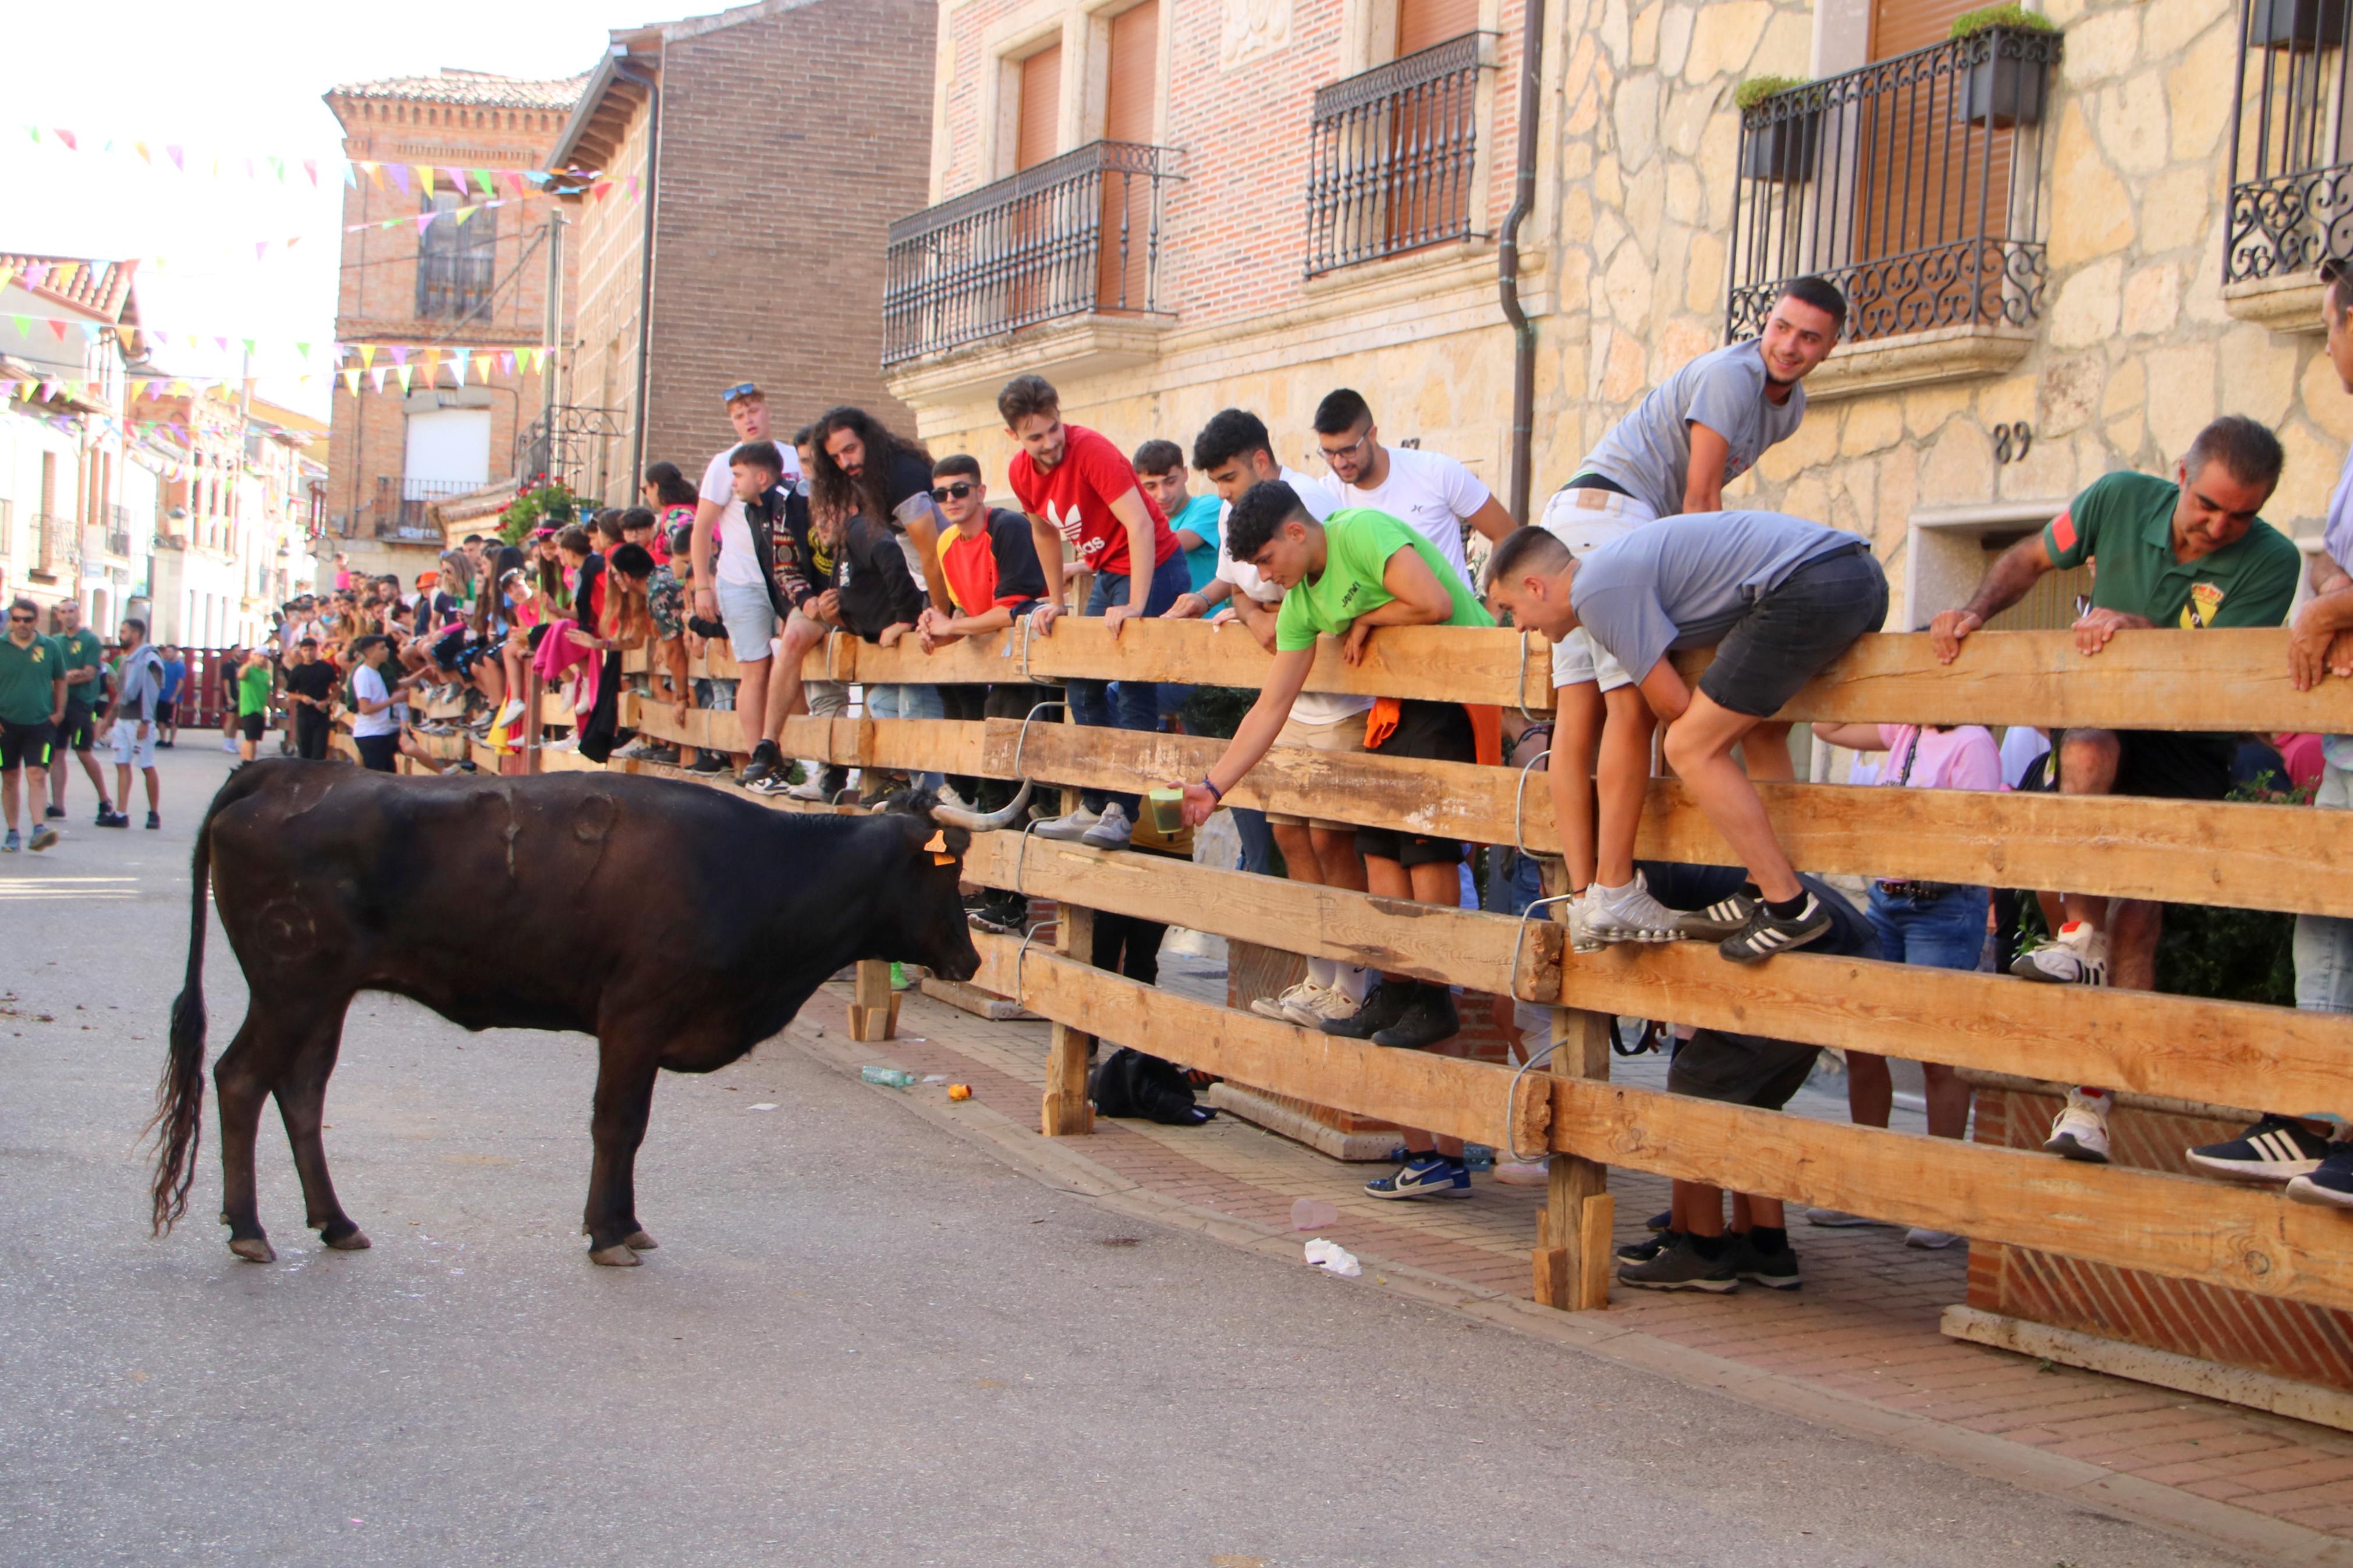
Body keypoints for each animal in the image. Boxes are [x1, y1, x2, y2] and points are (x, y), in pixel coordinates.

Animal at [149, 757, 1030, 1260]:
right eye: (948, 872)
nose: (969, 960)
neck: (761, 869)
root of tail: (284, 772)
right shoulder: (634, 1016)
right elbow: (619, 1123)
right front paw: (607, 1232)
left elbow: (631, 1128)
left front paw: (625, 1221)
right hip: (291, 985)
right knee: (239, 1079)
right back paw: (249, 1228)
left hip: (322, 996)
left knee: (300, 1091)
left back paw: (333, 1222)